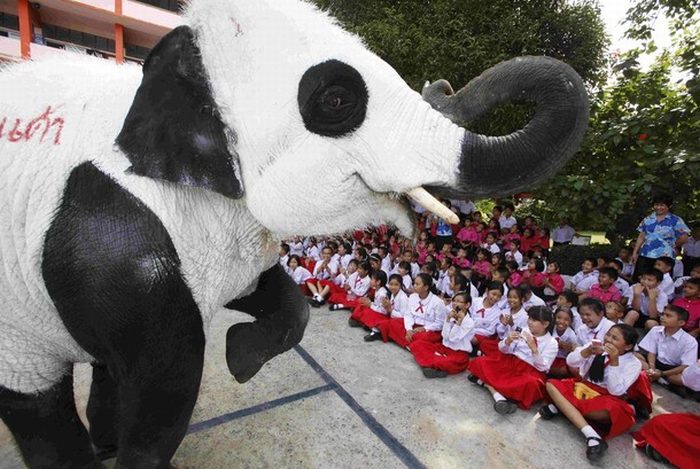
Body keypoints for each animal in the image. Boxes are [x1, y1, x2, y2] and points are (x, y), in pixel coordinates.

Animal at [0, 0, 588, 466]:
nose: (440, 82)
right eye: (337, 100)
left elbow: (282, 300)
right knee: (38, 407)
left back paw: (105, 441)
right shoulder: (106, 232)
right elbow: (166, 388)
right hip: (16, 328)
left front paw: (239, 359)